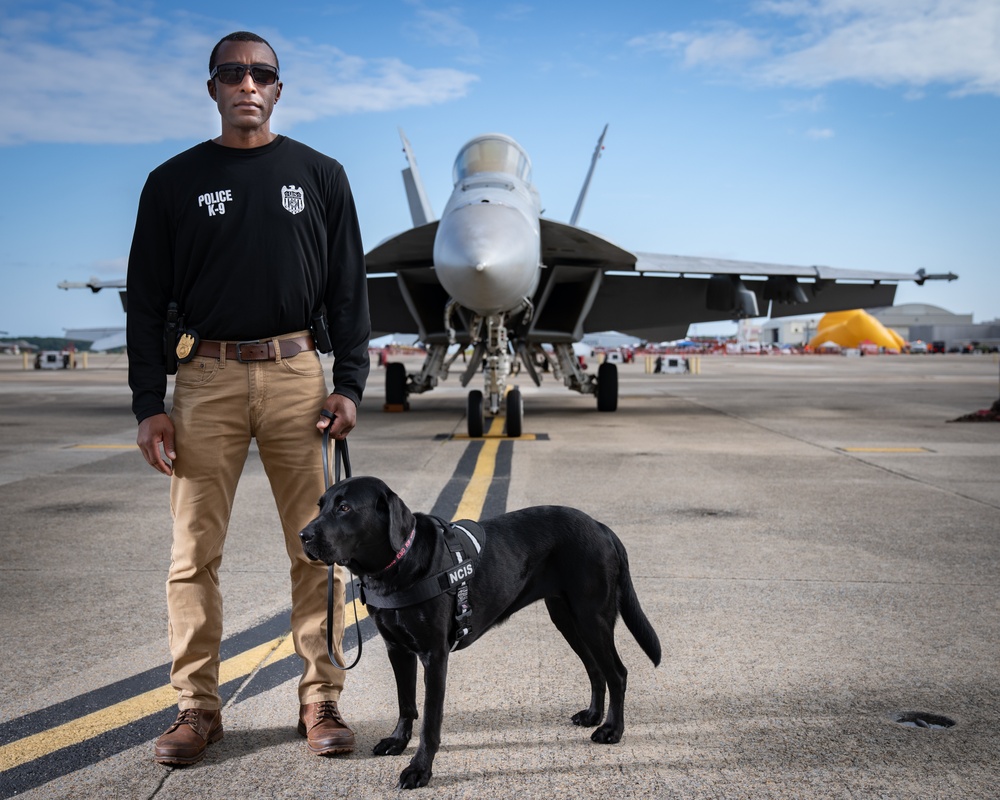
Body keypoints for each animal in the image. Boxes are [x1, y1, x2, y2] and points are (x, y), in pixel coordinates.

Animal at [300, 476, 660, 788]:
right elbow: (405, 703)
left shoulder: (434, 655)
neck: (395, 567)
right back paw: (593, 716)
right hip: (567, 618)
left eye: (344, 508)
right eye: (321, 505)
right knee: (596, 668)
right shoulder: (397, 649)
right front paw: (398, 741)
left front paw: (419, 770)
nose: (303, 535)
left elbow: (430, 720)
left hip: (591, 616)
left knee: (617, 673)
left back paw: (612, 729)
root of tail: (601, 527)